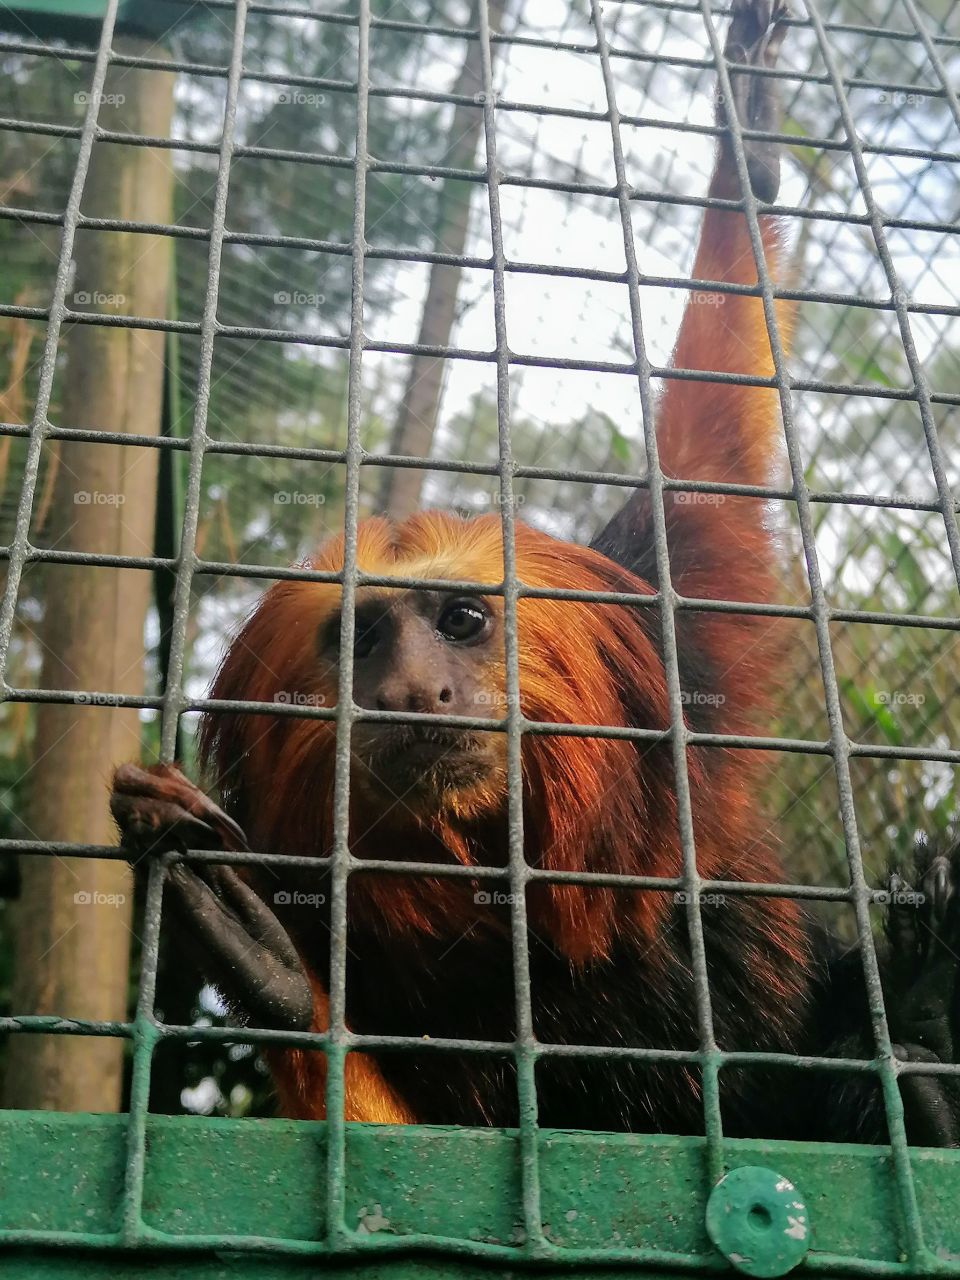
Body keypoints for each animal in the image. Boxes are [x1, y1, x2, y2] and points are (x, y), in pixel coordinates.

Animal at [111, 0, 960, 1144]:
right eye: (363, 637)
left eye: (464, 622)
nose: (413, 689)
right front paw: (260, 959)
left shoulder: (667, 658)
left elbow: (703, 470)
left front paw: (750, 143)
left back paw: (918, 1030)